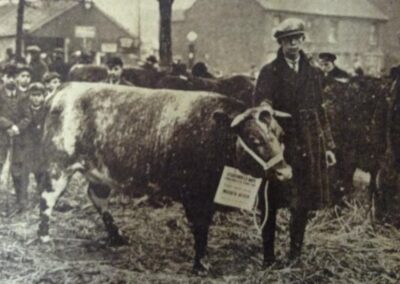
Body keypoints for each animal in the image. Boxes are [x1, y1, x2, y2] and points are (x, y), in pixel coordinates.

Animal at [38, 83, 294, 274]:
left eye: (281, 134)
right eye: (253, 139)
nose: (285, 172)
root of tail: (63, 89)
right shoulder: (194, 195)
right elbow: (200, 227)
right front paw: (201, 264)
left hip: (100, 173)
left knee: (96, 197)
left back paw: (117, 236)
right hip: (57, 165)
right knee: (46, 200)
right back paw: (45, 239)